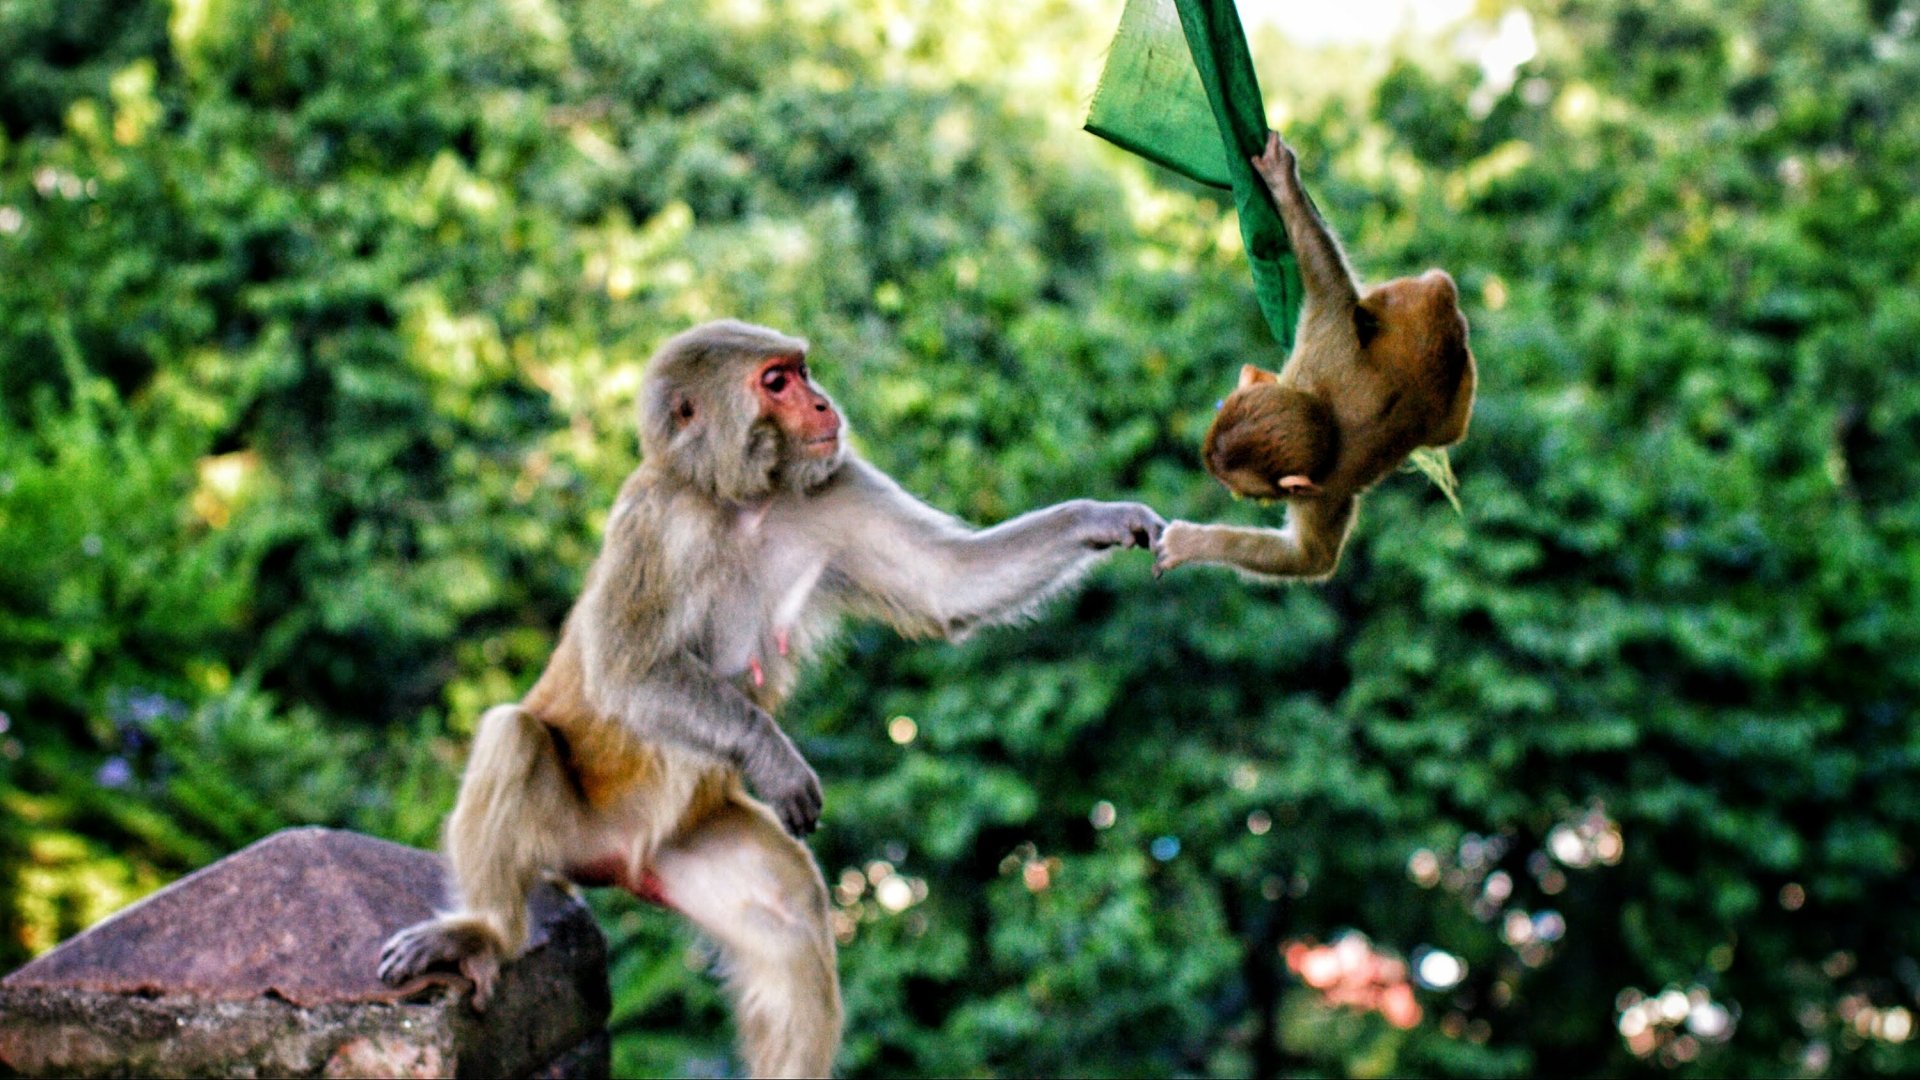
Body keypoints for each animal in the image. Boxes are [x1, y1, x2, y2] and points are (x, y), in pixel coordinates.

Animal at [377, 319, 1165, 1078]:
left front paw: (1096, 518)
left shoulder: (836, 481)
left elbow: (946, 585)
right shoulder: (655, 518)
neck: (740, 503)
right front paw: (770, 753)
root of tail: (610, 862)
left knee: (790, 920)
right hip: (574, 828)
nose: (823, 403)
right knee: (514, 735)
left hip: (681, 840)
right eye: (777, 382)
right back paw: (484, 932)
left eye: (802, 372)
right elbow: (627, 671)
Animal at [1153, 131, 1477, 581]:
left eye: (1239, 490)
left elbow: (1308, 558)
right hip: (1412, 301)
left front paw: (1190, 543)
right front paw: (1285, 186)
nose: (1228, 491)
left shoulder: (1320, 495)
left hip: (1449, 390)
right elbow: (1329, 284)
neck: (1324, 415)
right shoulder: (1327, 337)